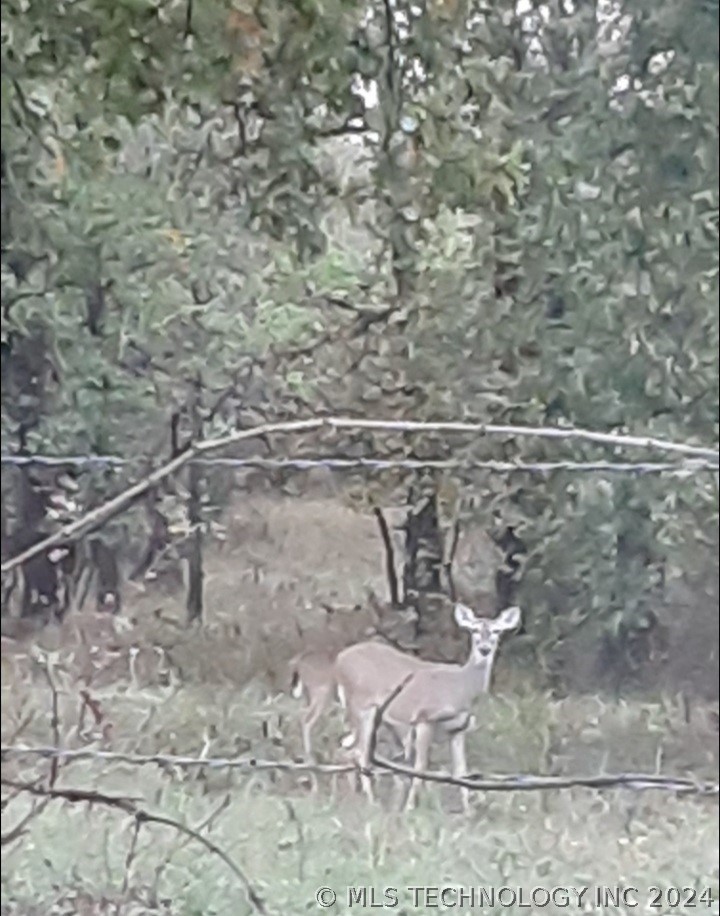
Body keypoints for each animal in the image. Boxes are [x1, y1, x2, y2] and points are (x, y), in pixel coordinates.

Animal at [290, 604, 520, 812]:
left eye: (497, 631)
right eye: (473, 630)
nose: (484, 649)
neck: (461, 688)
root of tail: (340, 659)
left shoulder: (458, 730)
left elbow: (462, 771)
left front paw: (468, 813)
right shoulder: (424, 718)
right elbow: (421, 767)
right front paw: (410, 808)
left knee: (344, 748)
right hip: (362, 707)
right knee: (357, 752)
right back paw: (370, 802)